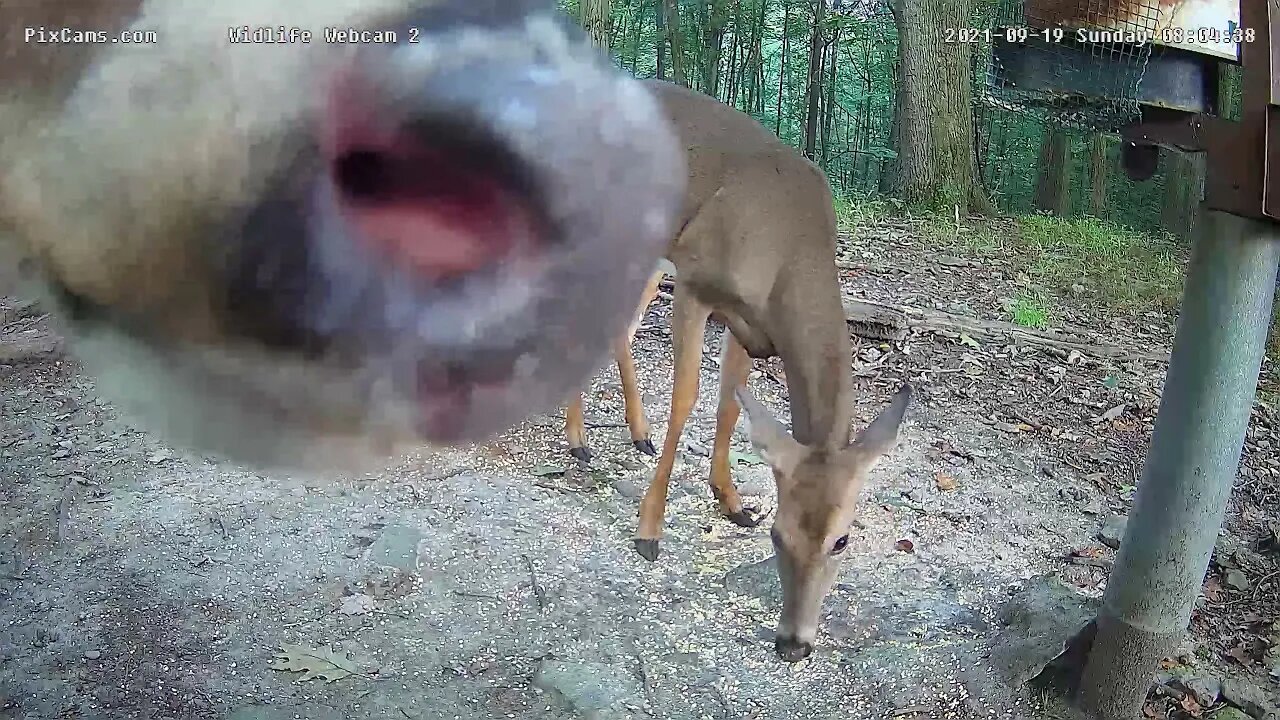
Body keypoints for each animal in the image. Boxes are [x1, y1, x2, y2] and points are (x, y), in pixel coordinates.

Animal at [599, 79, 911, 661]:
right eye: (777, 536)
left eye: (843, 539)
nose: (793, 643)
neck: (788, 253)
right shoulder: (696, 282)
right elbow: (687, 398)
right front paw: (649, 529)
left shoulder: (751, 329)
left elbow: (730, 404)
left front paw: (732, 501)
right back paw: (580, 440)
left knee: (617, 326)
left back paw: (633, 433)